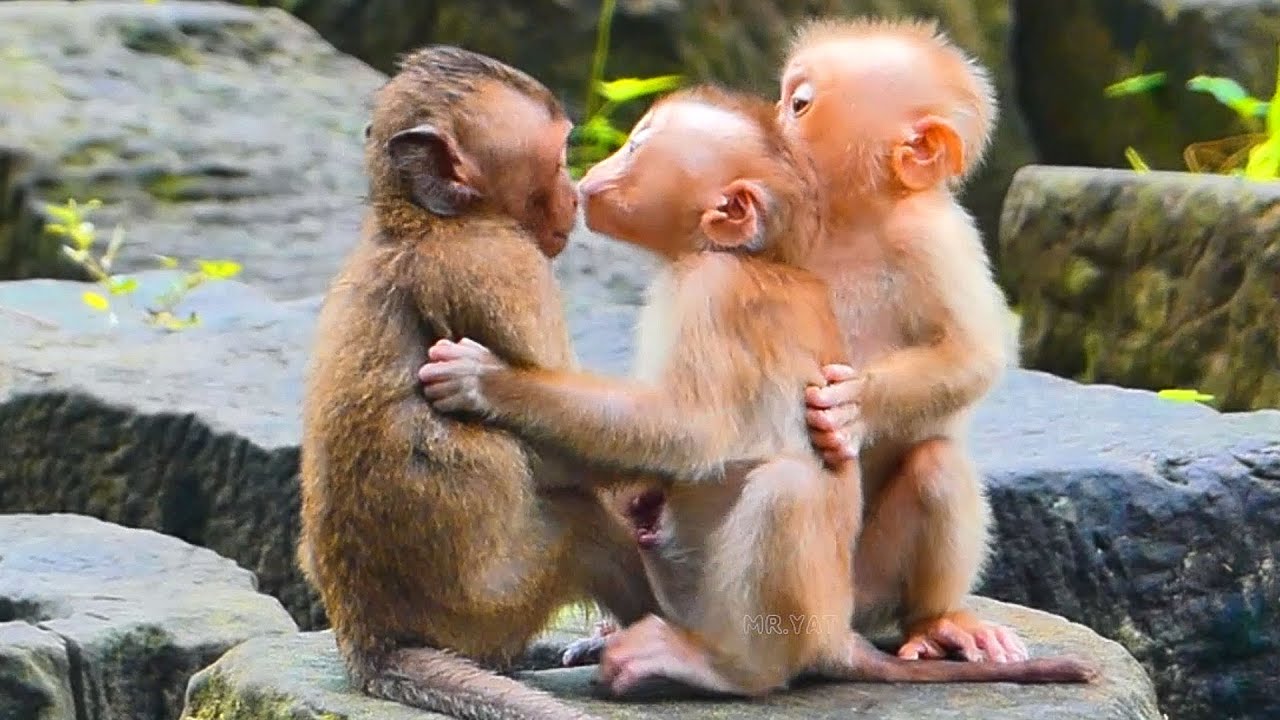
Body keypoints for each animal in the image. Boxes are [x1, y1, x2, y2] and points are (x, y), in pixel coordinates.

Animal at [296, 46, 659, 720]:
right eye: (560, 158)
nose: (577, 194)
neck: (419, 219)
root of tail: (369, 640)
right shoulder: (503, 264)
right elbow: (567, 456)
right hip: (499, 602)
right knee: (581, 522)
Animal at [418, 85, 1097, 697]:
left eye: (636, 147)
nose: (597, 170)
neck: (749, 257)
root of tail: (839, 636)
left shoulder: (714, 292)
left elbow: (690, 434)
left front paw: (488, 383)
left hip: (785, 614)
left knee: (787, 491)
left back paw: (728, 668)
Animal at [781, 17, 1029, 664]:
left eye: (799, 105)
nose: (767, 123)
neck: (847, 223)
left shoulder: (935, 240)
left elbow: (972, 354)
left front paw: (851, 408)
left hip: (868, 583)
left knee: (936, 468)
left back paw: (939, 623)